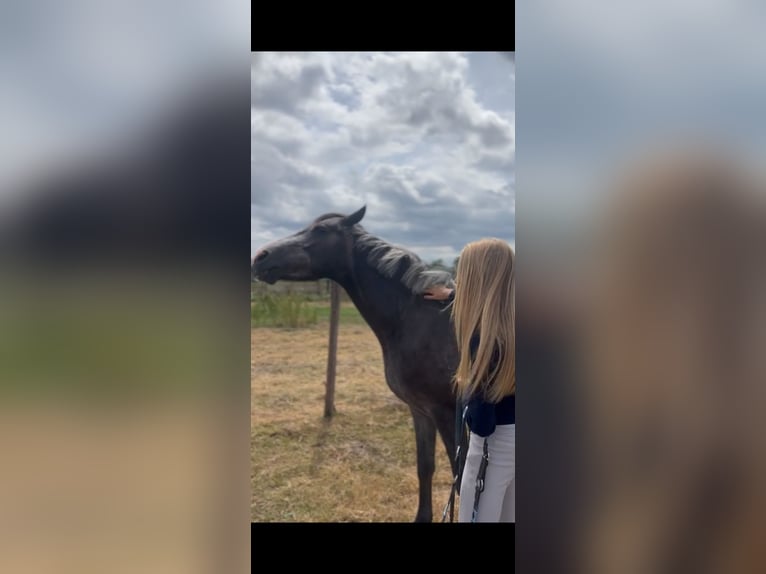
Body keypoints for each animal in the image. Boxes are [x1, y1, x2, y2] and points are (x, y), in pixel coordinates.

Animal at [252, 205, 462, 522]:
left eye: (321, 230)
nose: (261, 256)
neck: (414, 318)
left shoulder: (447, 413)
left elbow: (461, 479)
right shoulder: (421, 410)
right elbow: (425, 467)